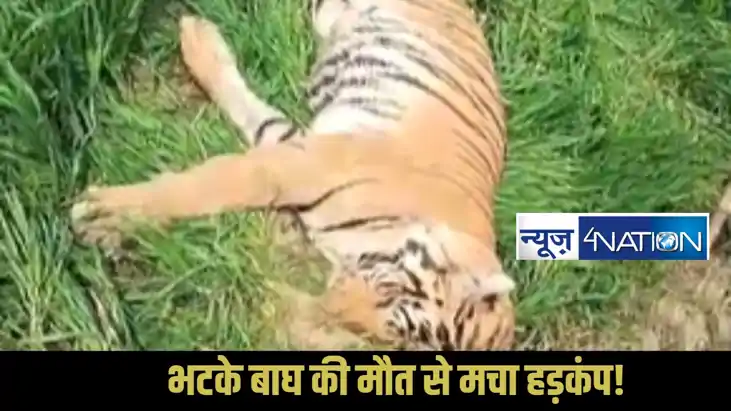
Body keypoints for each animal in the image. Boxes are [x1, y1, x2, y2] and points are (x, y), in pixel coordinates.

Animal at [70, 0, 515, 350]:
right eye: (395, 292)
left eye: (394, 335)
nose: (336, 304)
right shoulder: (300, 165)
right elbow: (206, 186)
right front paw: (101, 216)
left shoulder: (293, 148)